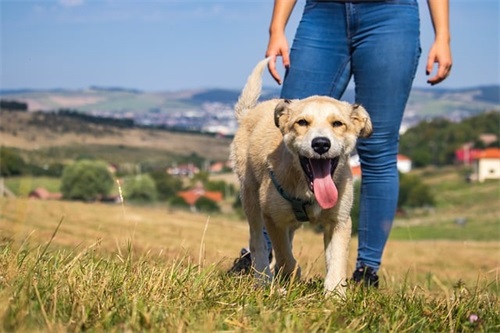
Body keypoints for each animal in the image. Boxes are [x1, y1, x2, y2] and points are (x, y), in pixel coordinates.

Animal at [230, 58, 372, 294]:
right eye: (302, 122)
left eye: (337, 123)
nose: (321, 144)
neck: (307, 188)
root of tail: (249, 113)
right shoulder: (273, 219)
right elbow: (285, 255)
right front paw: (291, 275)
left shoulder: (340, 221)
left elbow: (337, 260)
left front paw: (335, 294)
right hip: (251, 198)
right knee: (257, 242)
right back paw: (264, 281)